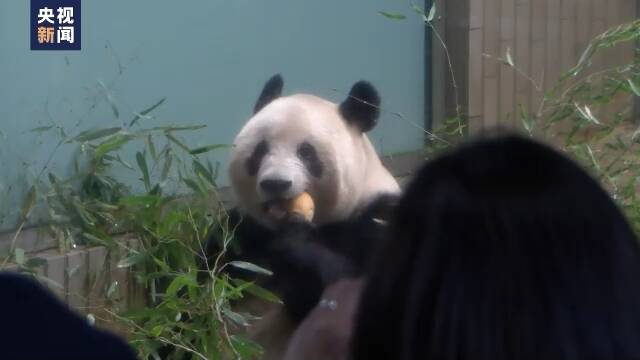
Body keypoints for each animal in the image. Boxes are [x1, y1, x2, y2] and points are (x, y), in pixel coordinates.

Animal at [208, 73, 402, 358]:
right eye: (260, 150)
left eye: (306, 152)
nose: (276, 183)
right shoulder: (239, 235)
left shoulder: (380, 219)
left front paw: (294, 239)